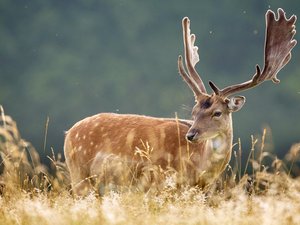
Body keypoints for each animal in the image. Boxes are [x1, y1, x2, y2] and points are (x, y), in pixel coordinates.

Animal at [64, 8, 296, 195]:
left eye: (217, 112)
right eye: (193, 112)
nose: (191, 135)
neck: (198, 169)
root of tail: (69, 133)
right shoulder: (159, 181)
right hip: (79, 175)